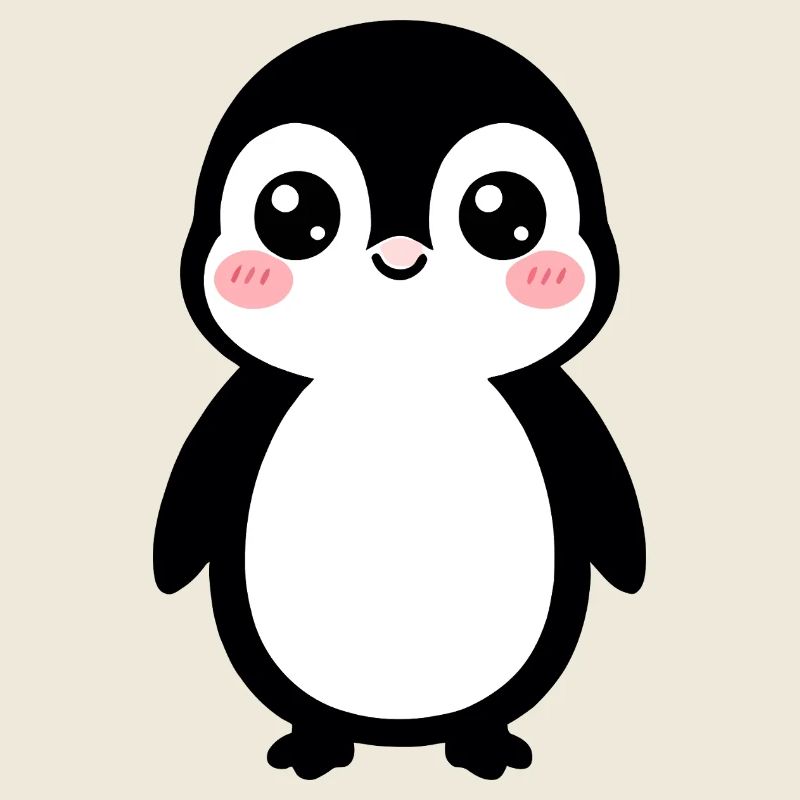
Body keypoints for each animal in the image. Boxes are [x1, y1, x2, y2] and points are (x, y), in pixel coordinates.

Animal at [154, 20, 645, 781]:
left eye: (505, 211)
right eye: (292, 209)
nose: (400, 255)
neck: (400, 374)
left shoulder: (558, 409)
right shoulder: (242, 408)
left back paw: (482, 746)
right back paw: (316, 746)